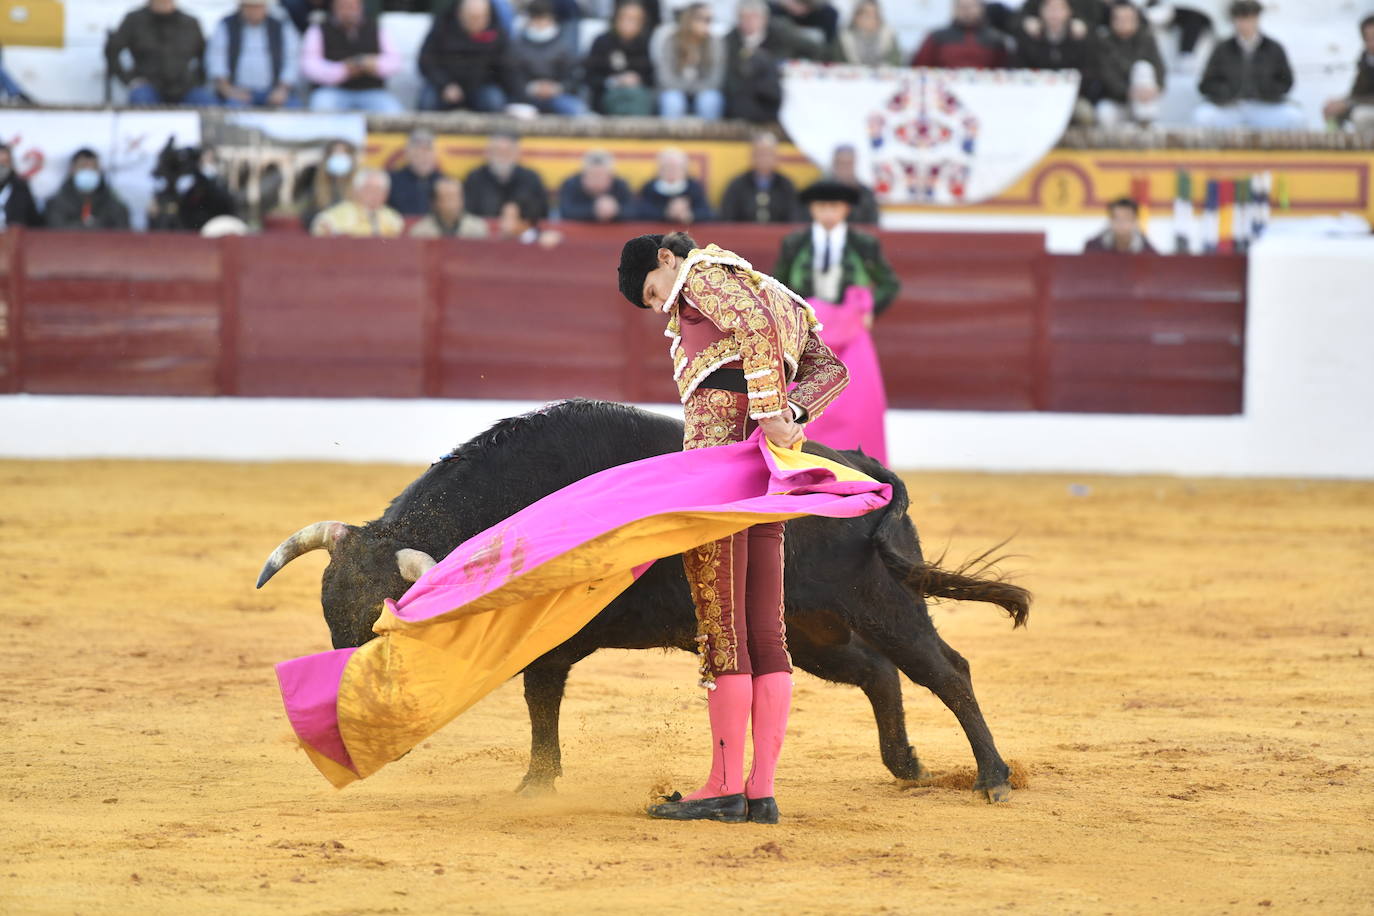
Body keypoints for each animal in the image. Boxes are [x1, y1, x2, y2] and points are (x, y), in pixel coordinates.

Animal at [258, 401, 1033, 802]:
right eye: (333, 624)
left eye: (387, 633)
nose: (346, 720)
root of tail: (869, 471)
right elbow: (541, 702)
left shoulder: (550, 639)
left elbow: (541, 699)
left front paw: (536, 786)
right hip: (813, 629)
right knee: (878, 672)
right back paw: (905, 764)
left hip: (880, 598)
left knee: (944, 669)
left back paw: (993, 778)